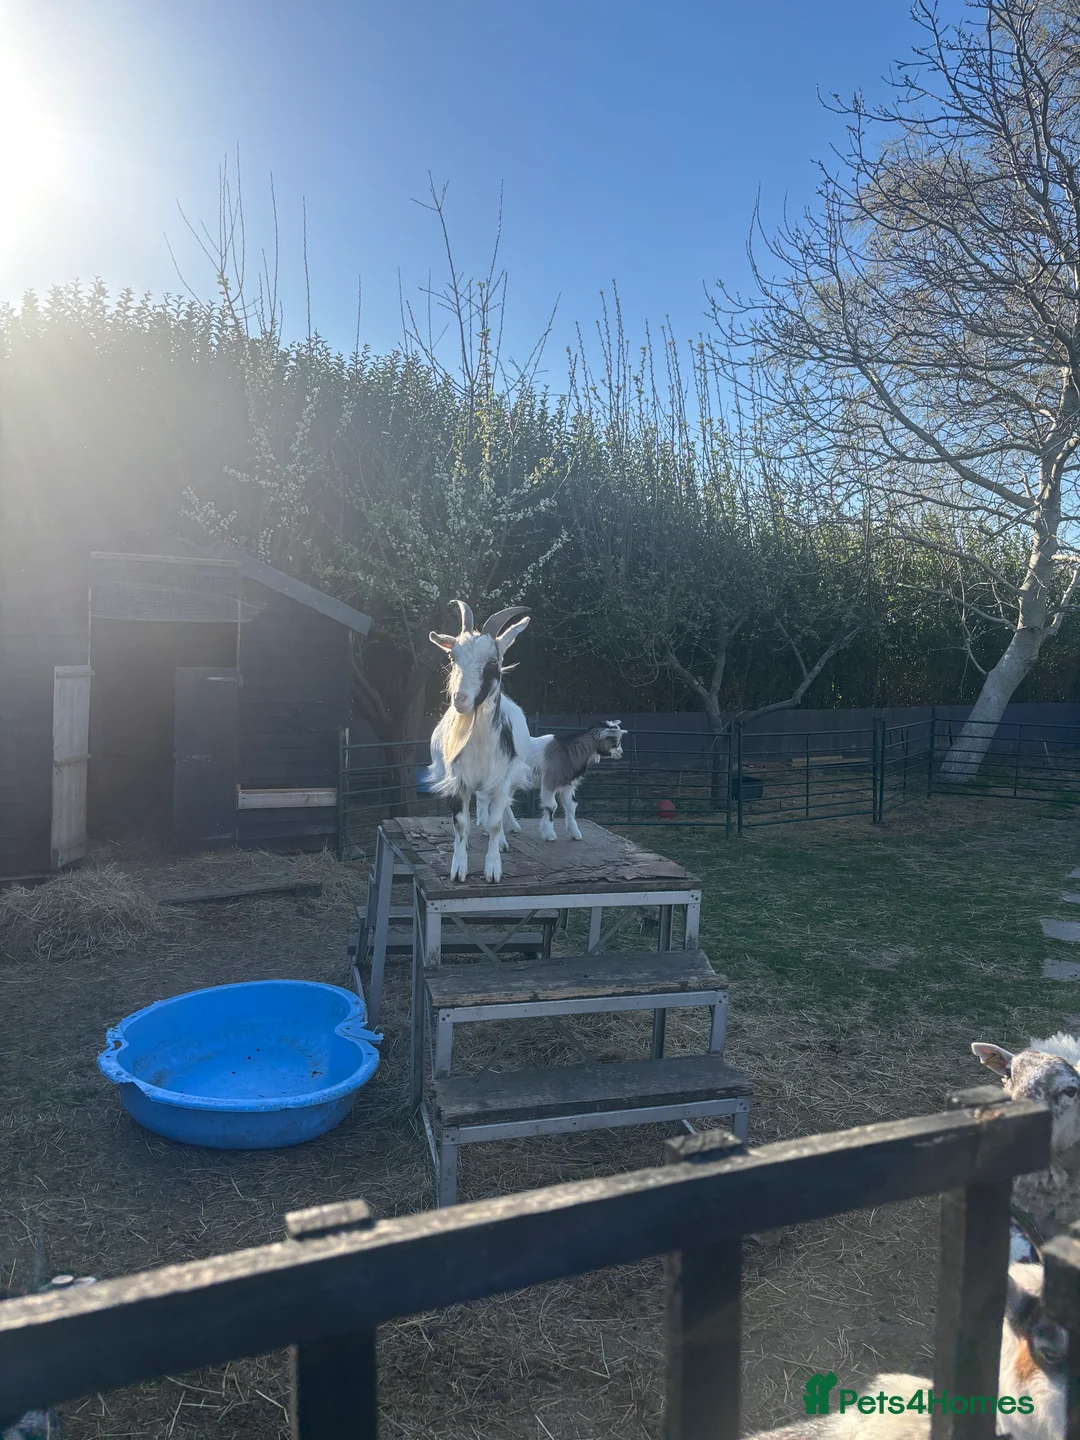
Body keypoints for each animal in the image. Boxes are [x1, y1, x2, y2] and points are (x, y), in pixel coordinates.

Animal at [423, 600, 534, 883]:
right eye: (453, 657)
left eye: (493, 661)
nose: (460, 699)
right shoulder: (457, 779)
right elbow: (461, 824)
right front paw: (458, 868)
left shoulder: (502, 778)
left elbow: (496, 822)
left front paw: (493, 868)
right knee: (483, 802)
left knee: (499, 807)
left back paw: (505, 835)